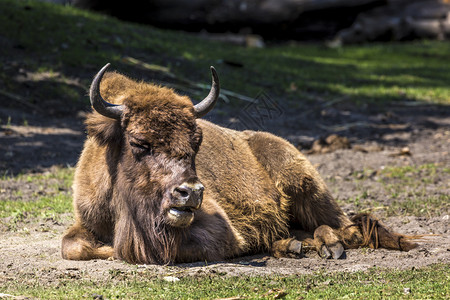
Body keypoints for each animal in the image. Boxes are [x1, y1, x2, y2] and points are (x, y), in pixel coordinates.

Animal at [60, 63, 418, 264]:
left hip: (304, 183)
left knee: (350, 229)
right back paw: (295, 246)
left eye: (196, 141)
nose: (190, 193)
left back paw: (329, 245)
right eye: (139, 143)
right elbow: (72, 246)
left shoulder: (221, 231)